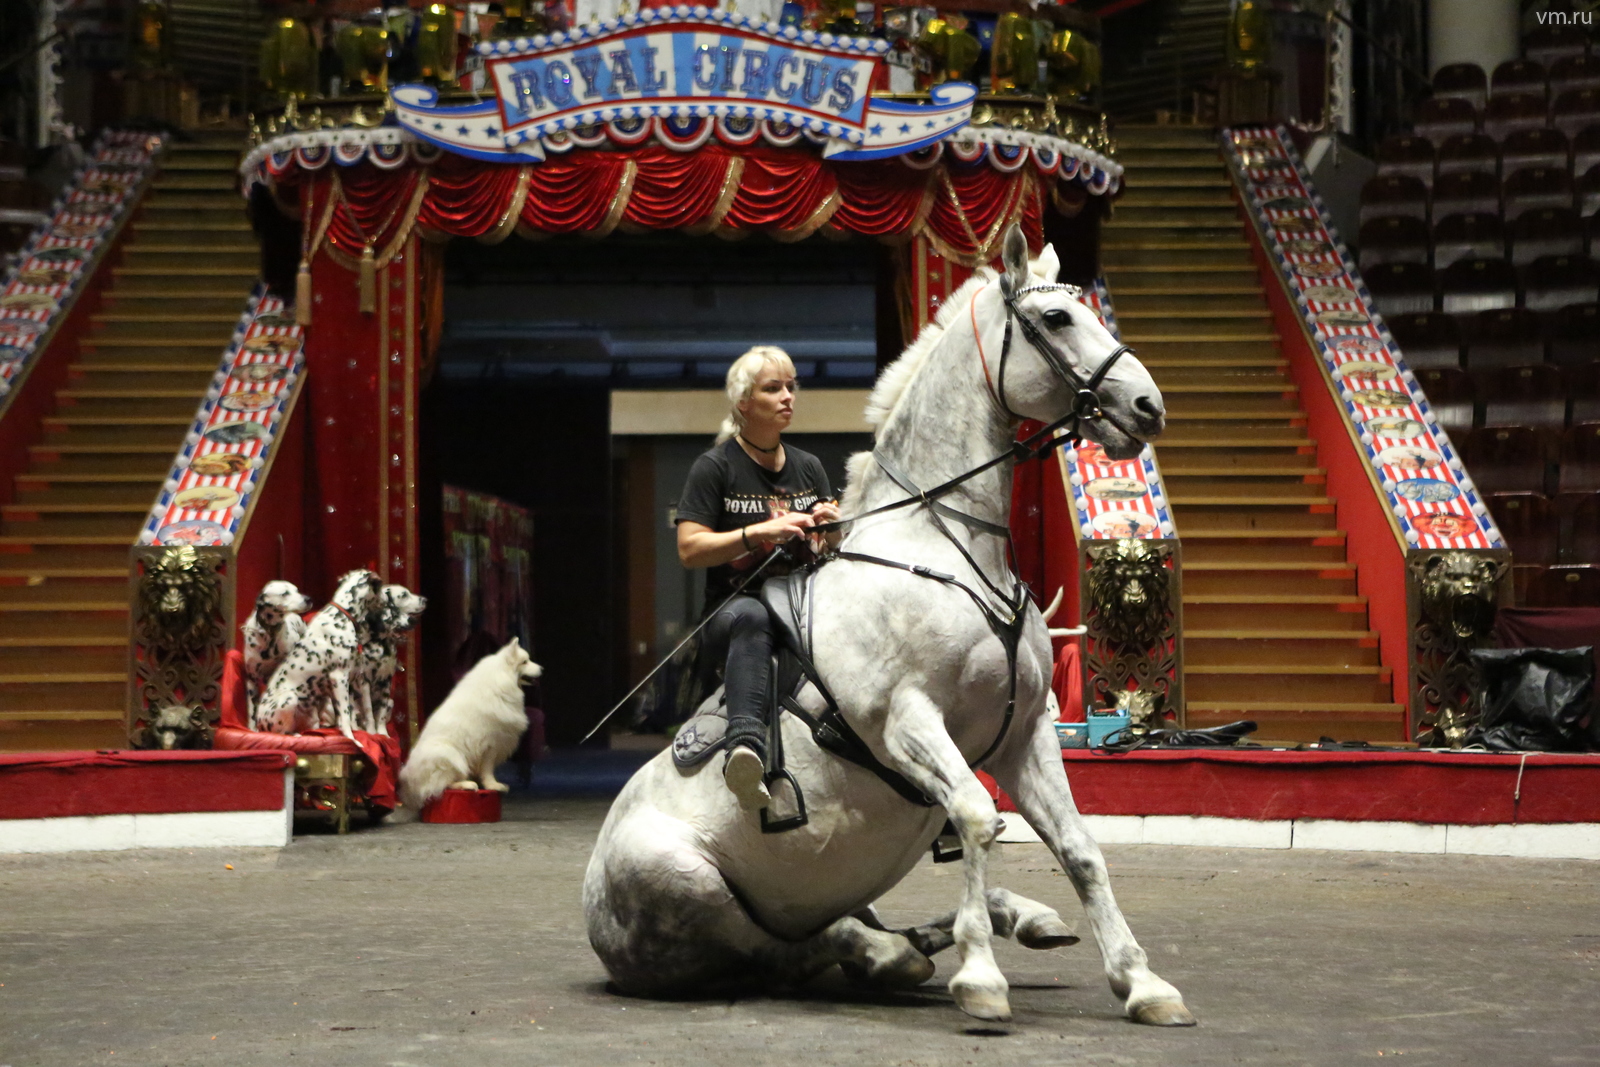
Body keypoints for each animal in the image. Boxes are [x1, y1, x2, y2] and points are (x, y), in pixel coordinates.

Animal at [256, 572, 384, 739]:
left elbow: (365, 714)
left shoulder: (358, 679)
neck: (342, 616)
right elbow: (345, 717)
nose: (387, 600)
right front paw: (351, 738)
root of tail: (258, 725)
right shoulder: (340, 677)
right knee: (280, 732)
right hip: (289, 699)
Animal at [358, 585, 428, 735]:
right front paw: (372, 733)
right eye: (404, 595)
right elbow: (368, 712)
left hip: (391, 701)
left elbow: (381, 716)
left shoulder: (386, 682)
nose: (425, 600)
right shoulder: (364, 682)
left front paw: (382, 734)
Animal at [395, 633, 540, 819]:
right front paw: (493, 785)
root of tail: (407, 790)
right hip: (447, 754)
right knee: (440, 787)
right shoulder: (490, 744)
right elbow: (488, 769)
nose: (542, 668)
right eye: (525, 662)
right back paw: (466, 784)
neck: (502, 679)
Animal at [582, 227, 1196, 1023]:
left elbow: (1080, 846)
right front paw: (982, 979)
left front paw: (1142, 982)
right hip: (683, 881)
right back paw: (901, 952)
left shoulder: (1025, 732)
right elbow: (976, 815)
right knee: (789, 945)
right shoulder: (910, 722)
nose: (1148, 405)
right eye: (1058, 318)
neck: (943, 546)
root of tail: (597, 916)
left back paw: (1020, 918)